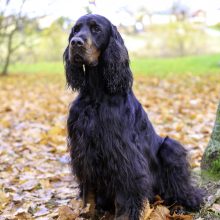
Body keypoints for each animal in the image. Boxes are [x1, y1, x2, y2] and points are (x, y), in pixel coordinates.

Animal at [63, 14, 203, 219]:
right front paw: (86, 213)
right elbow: (88, 195)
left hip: (170, 147)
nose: (75, 42)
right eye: (75, 29)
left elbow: (124, 197)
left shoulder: (124, 155)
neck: (96, 94)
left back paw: (187, 202)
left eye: (96, 29)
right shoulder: (83, 150)